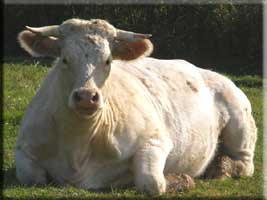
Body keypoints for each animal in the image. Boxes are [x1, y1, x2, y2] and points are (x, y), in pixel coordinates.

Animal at [15, 18, 258, 194]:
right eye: (64, 59)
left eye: (108, 61)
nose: (86, 96)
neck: (78, 145)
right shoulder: (24, 149)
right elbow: (32, 177)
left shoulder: (156, 139)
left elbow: (152, 183)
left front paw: (179, 179)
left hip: (240, 123)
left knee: (245, 164)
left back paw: (221, 167)